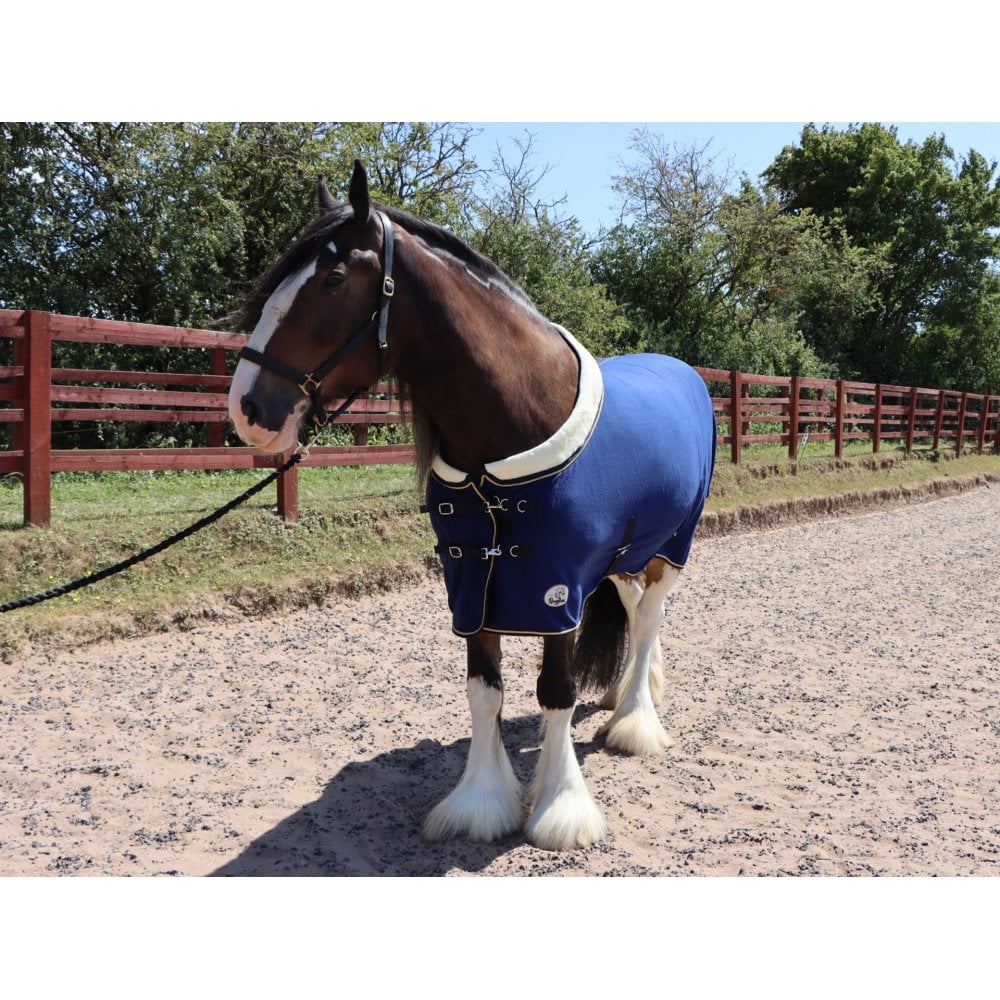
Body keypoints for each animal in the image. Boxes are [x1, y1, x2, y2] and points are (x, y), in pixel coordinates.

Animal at [227, 161, 717, 851]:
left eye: (332, 279)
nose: (246, 408)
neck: (516, 424)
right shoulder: (470, 580)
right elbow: (484, 690)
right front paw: (480, 803)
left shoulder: (557, 586)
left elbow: (556, 691)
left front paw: (560, 808)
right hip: (626, 549)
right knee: (632, 606)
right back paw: (630, 692)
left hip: (673, 544)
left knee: (648, 619)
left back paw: (635, 721)